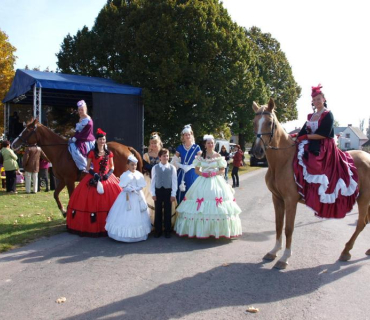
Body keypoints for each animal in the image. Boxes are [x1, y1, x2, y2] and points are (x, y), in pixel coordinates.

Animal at [11, 119, 143, 216]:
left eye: (27, 130)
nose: (13, 144)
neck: (60, 152)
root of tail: (127, 147)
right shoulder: (63, 180)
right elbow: (55, 194)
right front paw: (64, 211)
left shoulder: (69, 180)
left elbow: (71, 196)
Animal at [251, 99, 370, 268]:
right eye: (254, 123)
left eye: (269, 122)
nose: (257, 151)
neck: (283, 161)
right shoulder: (277, 198)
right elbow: (278, 225)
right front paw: (274, 251)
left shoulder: (290, 200)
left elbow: (288, 228)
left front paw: (284, 258)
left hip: (364, 198)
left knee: (361, 223)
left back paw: (346, 252)